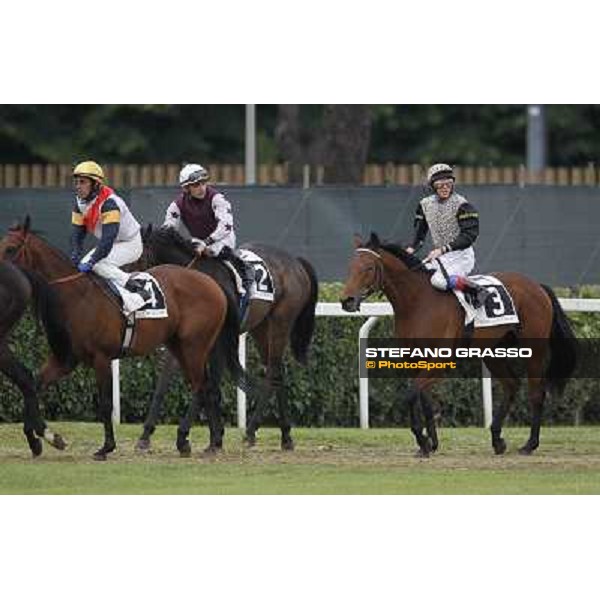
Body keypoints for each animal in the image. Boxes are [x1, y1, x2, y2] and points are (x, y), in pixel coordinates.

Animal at [132, 225, 318, 450]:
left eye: (137, 256)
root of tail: (296, 261)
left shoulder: (216, 343)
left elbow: (206, 384)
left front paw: (191, 435)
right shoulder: (185, 343)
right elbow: (164, 384)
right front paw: (146, 434)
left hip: (281, 323)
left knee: (273, 372)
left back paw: (252, 430)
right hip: (261, 329)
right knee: (277, 372)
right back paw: (285, 435)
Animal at [340, 232, 580, 458]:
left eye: (369, 267)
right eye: (350, 267)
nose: (346, 301)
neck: (418, 303)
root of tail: (536, 285)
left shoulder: (440, 360)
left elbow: (411, 395)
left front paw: (423, 441)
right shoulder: (414, 359)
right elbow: (423, 398)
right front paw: (431, 443)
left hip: (534, 349)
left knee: (536, 393)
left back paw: (529, 444)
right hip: (493, 351)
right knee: (511, 385)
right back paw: (497, 440)